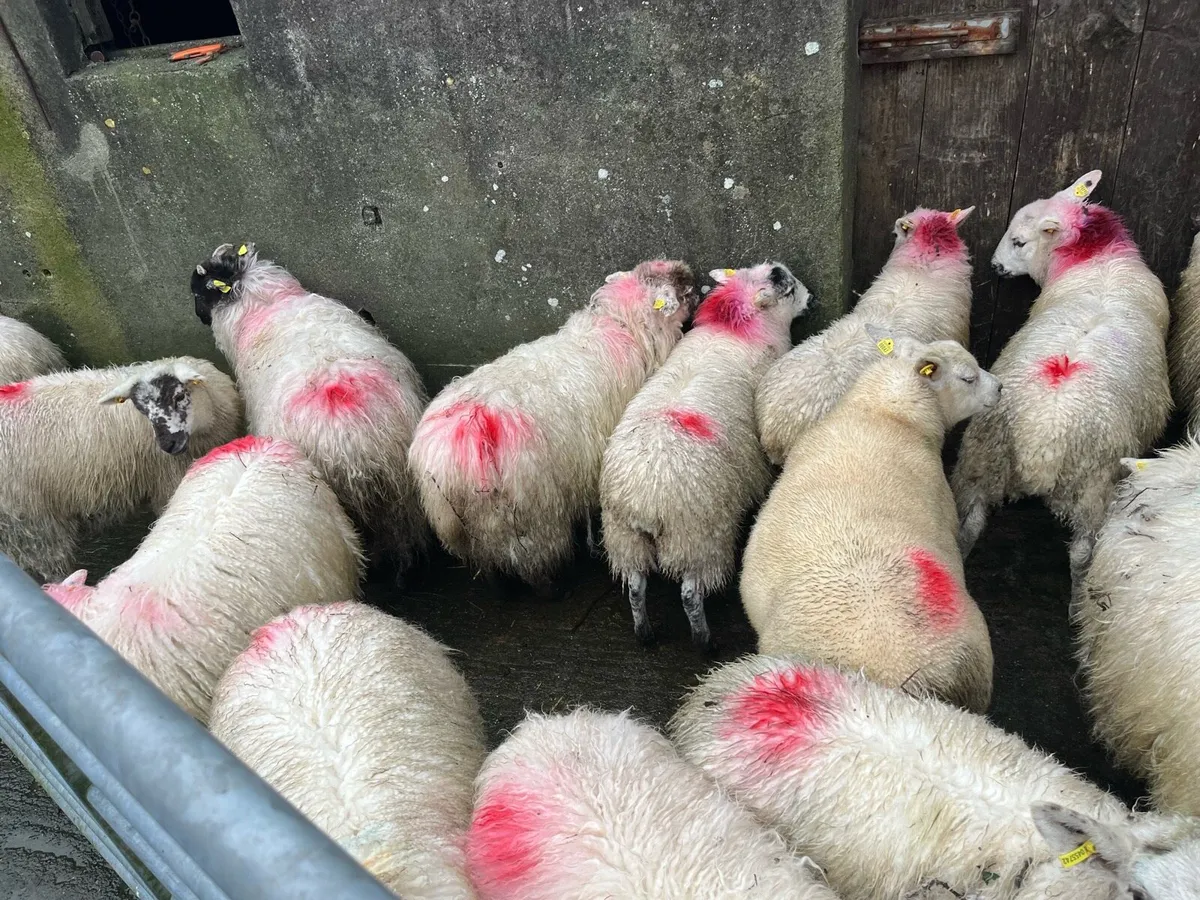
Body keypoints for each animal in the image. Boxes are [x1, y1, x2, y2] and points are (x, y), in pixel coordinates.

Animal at [409, 260, 697, 587]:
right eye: (683, 290)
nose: (697, 285)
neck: (622, 324)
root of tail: (468, 433)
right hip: (534, 516)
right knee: (536, 562)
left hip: (464, 528)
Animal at [600, 262, 810, 649]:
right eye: (788, 289)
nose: (811, 298)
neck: (734, 329)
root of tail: (644, 502)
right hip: (699, 538)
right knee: (689, 593)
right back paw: (703, 640)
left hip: (625, 538)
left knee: (635, 587)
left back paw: (645, 633)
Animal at [952, 171, 1171, 597]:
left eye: (1019, 241)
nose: (996, 266)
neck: (1097, 259)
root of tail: (1044, 433)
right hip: (1093, 486)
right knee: (1083, 552)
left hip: (981, 460)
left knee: (968, 525)